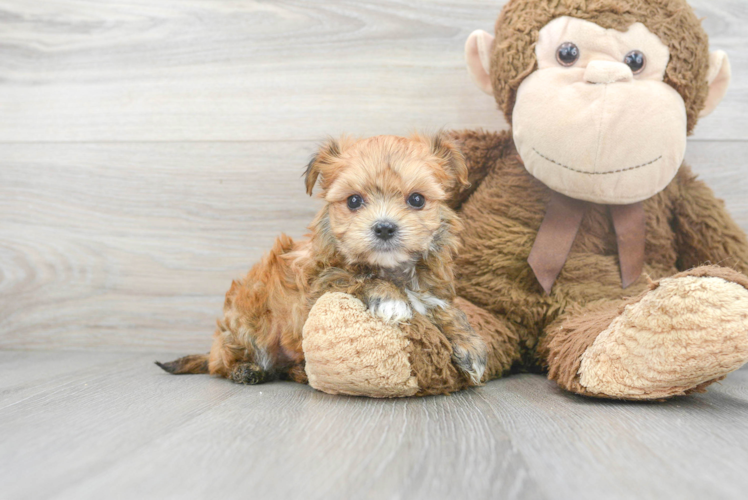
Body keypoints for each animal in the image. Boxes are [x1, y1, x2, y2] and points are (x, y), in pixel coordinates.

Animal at [155, 136, 488, 386]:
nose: (384, 227)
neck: (393, 268)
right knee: (223, 364)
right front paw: (392, 299)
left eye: (416, 199)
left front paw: (470, 345)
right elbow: (359, 277)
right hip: (247, 324)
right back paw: (246, 369)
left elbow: (444, 309)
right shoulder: (320, 281)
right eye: (354, 201)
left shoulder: (432, 289)